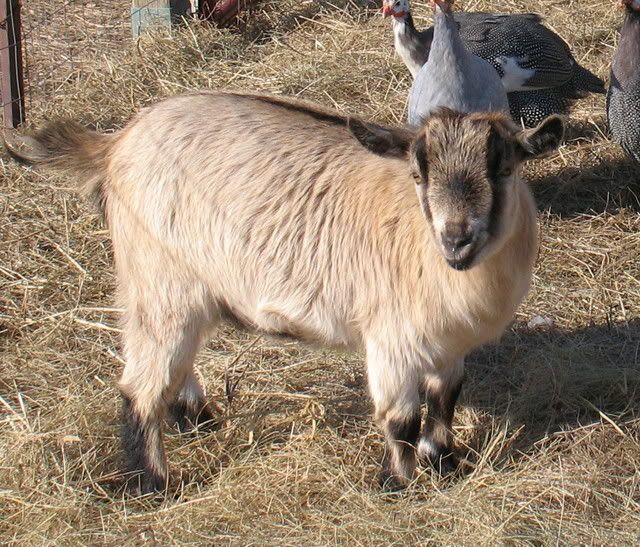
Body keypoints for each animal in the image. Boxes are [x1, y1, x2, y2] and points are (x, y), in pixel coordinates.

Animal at [4, 91, 563, 493]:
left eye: (504, 168)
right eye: (418, 173)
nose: (456, 238)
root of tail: (115, 144)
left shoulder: (447, 343)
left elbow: (446, 398)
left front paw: (444, 462)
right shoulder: (392, 338)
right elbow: (401, 418)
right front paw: (399, 483)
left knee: (176, 362)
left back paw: (197, 420)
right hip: (157, 279)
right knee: (139, 385)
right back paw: (154, 483)